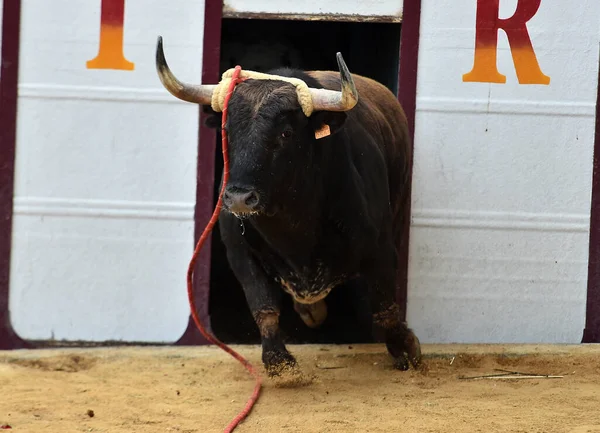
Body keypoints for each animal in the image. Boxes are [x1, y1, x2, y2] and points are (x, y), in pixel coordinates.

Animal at [157, 37, 424, 374]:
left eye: (286, 133)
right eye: (227, 132)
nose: (239, 198)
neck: (294, 227)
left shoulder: (380, 248)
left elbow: (385, 303)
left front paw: (405, 347)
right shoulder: (239, 252)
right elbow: (263, 305)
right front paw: (279, 362)